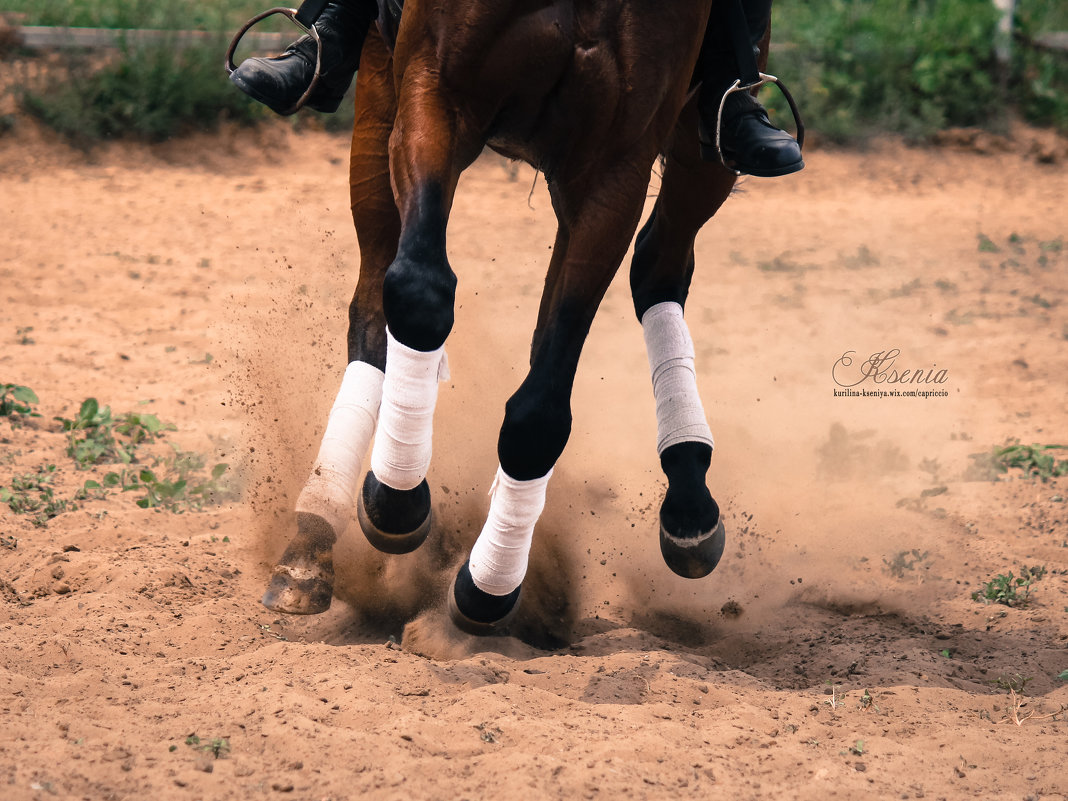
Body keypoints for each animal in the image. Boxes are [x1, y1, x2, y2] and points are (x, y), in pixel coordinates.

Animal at [258, 1, 773, 640]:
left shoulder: (613, 173)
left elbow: (540, 410)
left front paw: (487, 586)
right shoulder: (437, 93)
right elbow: (420, 293)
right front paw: (397, 499)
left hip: (703, 148)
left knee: (659, 264)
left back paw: (688, 502)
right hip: (381, 94)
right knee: (376, 304)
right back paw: (311, 543)